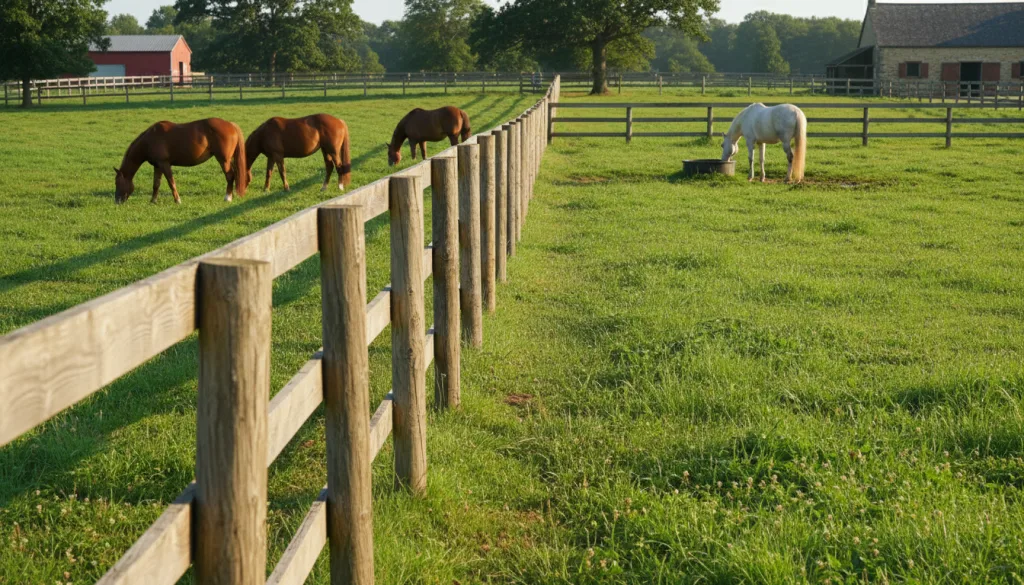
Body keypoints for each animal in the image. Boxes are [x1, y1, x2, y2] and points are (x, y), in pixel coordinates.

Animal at [114, 118, 247, 204]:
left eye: (117, 183)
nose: (117, 201)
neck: (150, 139)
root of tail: (230, 124)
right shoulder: (157, 166)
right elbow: (156, 184)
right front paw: (153, 201)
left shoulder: (164, 164)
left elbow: (171, 182)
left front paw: (177, 200)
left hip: (223, 160)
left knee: (230, 176)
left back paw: (227, 197)